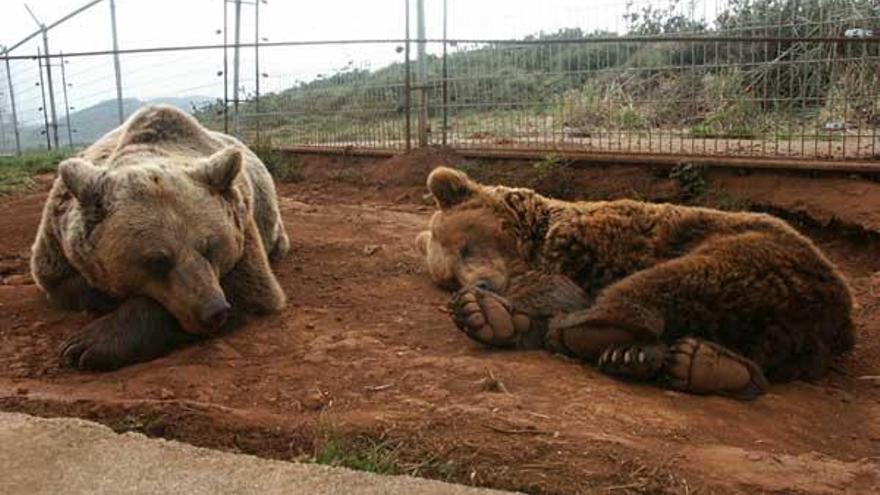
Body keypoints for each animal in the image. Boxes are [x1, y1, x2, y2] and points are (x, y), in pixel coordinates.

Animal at [31, 105, 288, 372]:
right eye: (158, 261)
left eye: (210, 248)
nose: (214, 310)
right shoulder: (57, 243)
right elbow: (67, 284)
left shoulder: (244, 229)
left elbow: (251, 289)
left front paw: (88, 345)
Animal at [416, 167, 856, 400]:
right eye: (449, 276)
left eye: (467, 246)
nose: (482, 287)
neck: (535, 238)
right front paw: (490, 314)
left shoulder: (592, 242)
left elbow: (561, 284)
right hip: (780, 327)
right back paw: (700, 365)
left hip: (752, 248)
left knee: (682, 275)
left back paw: (593, 331)